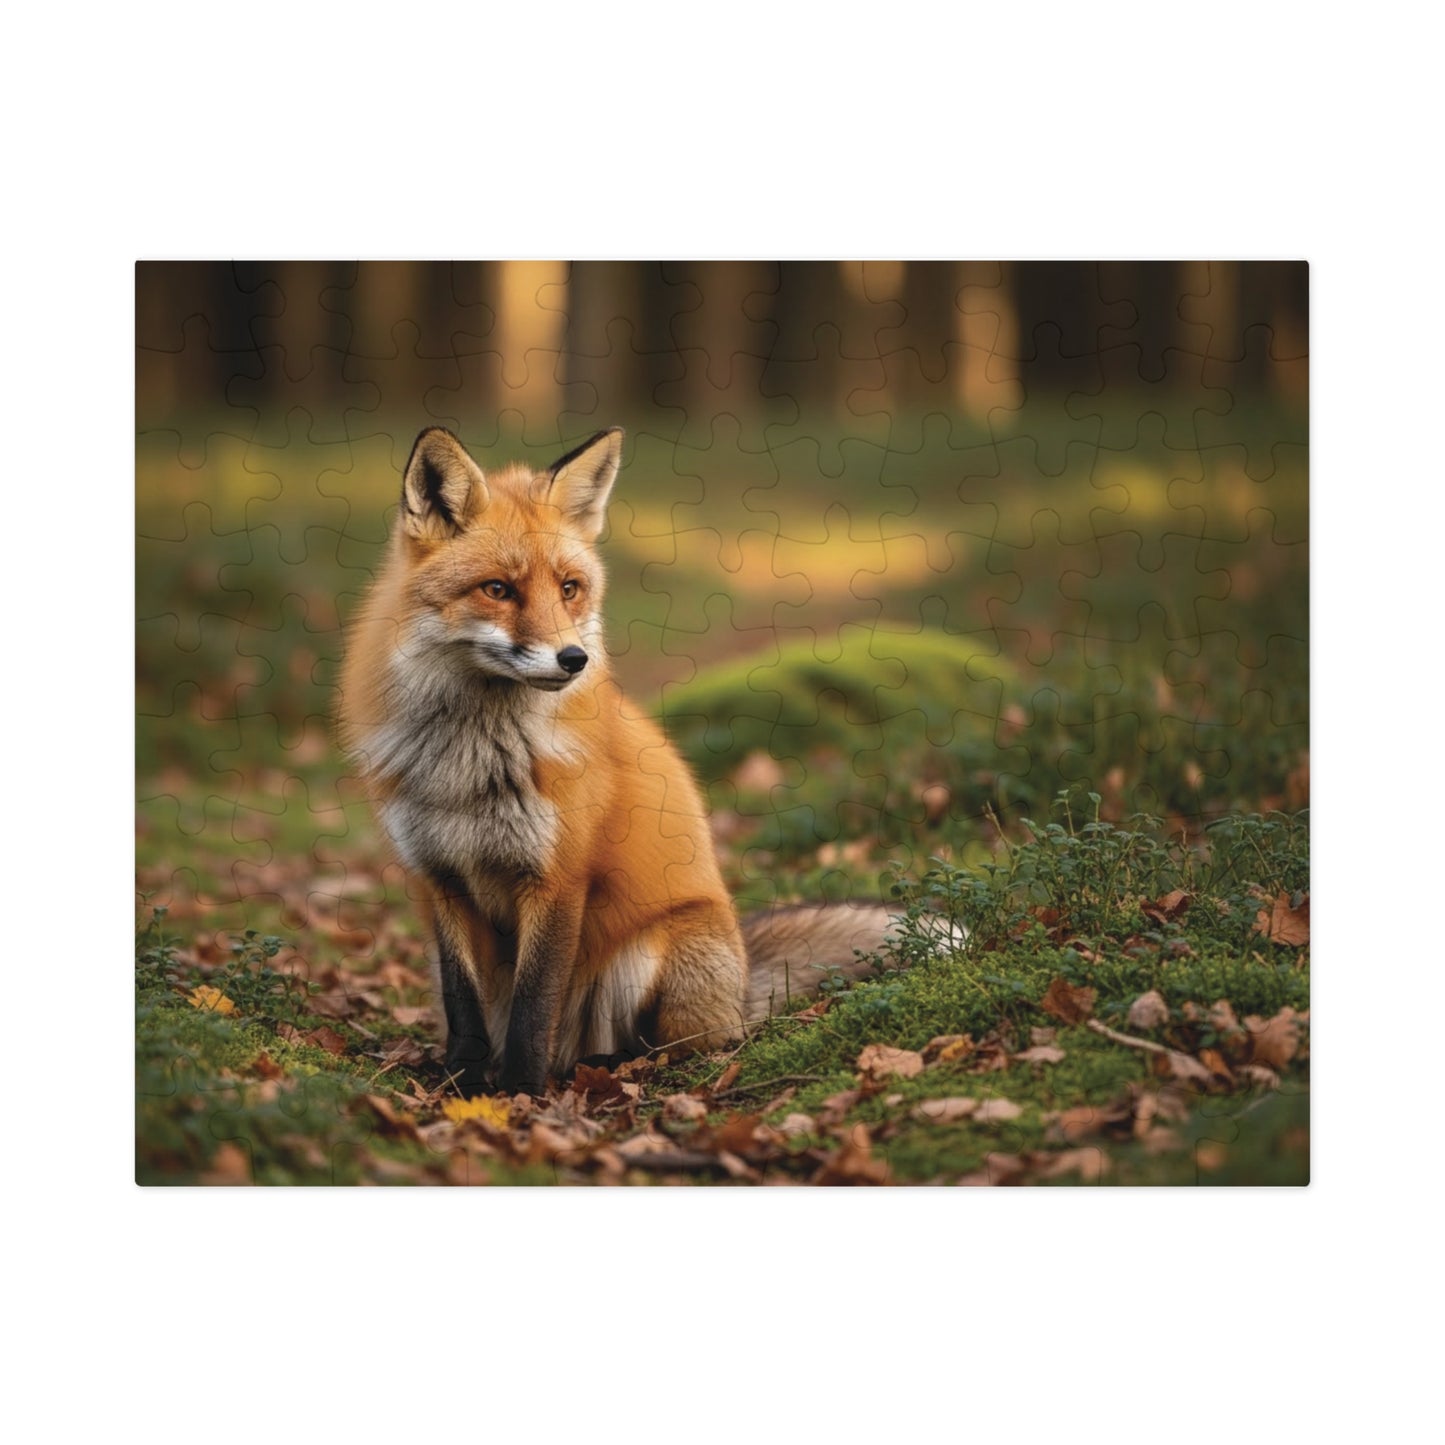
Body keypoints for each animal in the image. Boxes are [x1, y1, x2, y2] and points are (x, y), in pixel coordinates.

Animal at [338, 426, 895, 1096]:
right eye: (498, 589)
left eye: (569, 588)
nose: (573, 659)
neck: (469, 762)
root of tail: (741, 981)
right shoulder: (438, 879)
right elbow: (463, 1004)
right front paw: (465, 1088)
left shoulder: (558, 878)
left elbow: (533, 1008)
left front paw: (518, 1094)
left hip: (654, 954)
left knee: (683, 1045)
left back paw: (604, 1066)